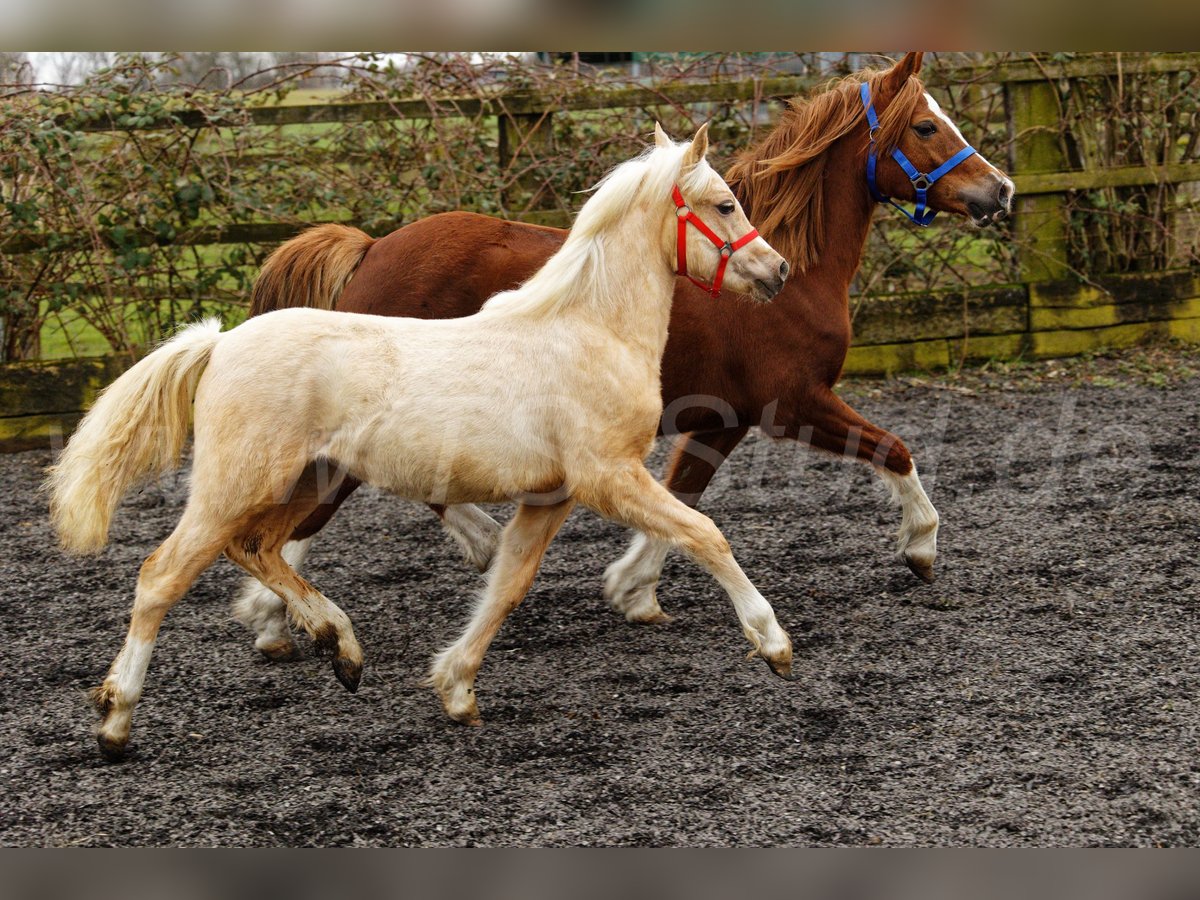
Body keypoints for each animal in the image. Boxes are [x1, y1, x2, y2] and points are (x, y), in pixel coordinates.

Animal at [51, 127, 792, 763]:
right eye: (724, 204)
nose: (777, 269)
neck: (588, 332)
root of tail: (221, 342)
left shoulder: (550, 496)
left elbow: (507, 583)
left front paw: (457, 689)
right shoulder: (608, 475)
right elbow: (703, 533)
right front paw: (773, 642)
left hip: (307, 481)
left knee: (258, 548)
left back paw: (340, 647)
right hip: (238, 484)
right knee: (162, 575)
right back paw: (115, 722)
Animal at [234, 51, 1012, 657]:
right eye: (925, 126)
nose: (999, 190)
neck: (790, 273)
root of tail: (370, 249)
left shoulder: (723, 419)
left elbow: (682, 496)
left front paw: (633, 589)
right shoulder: (793, 403)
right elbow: (895, 450)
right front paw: (920, 548)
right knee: (319, 510)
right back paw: (285, 616)